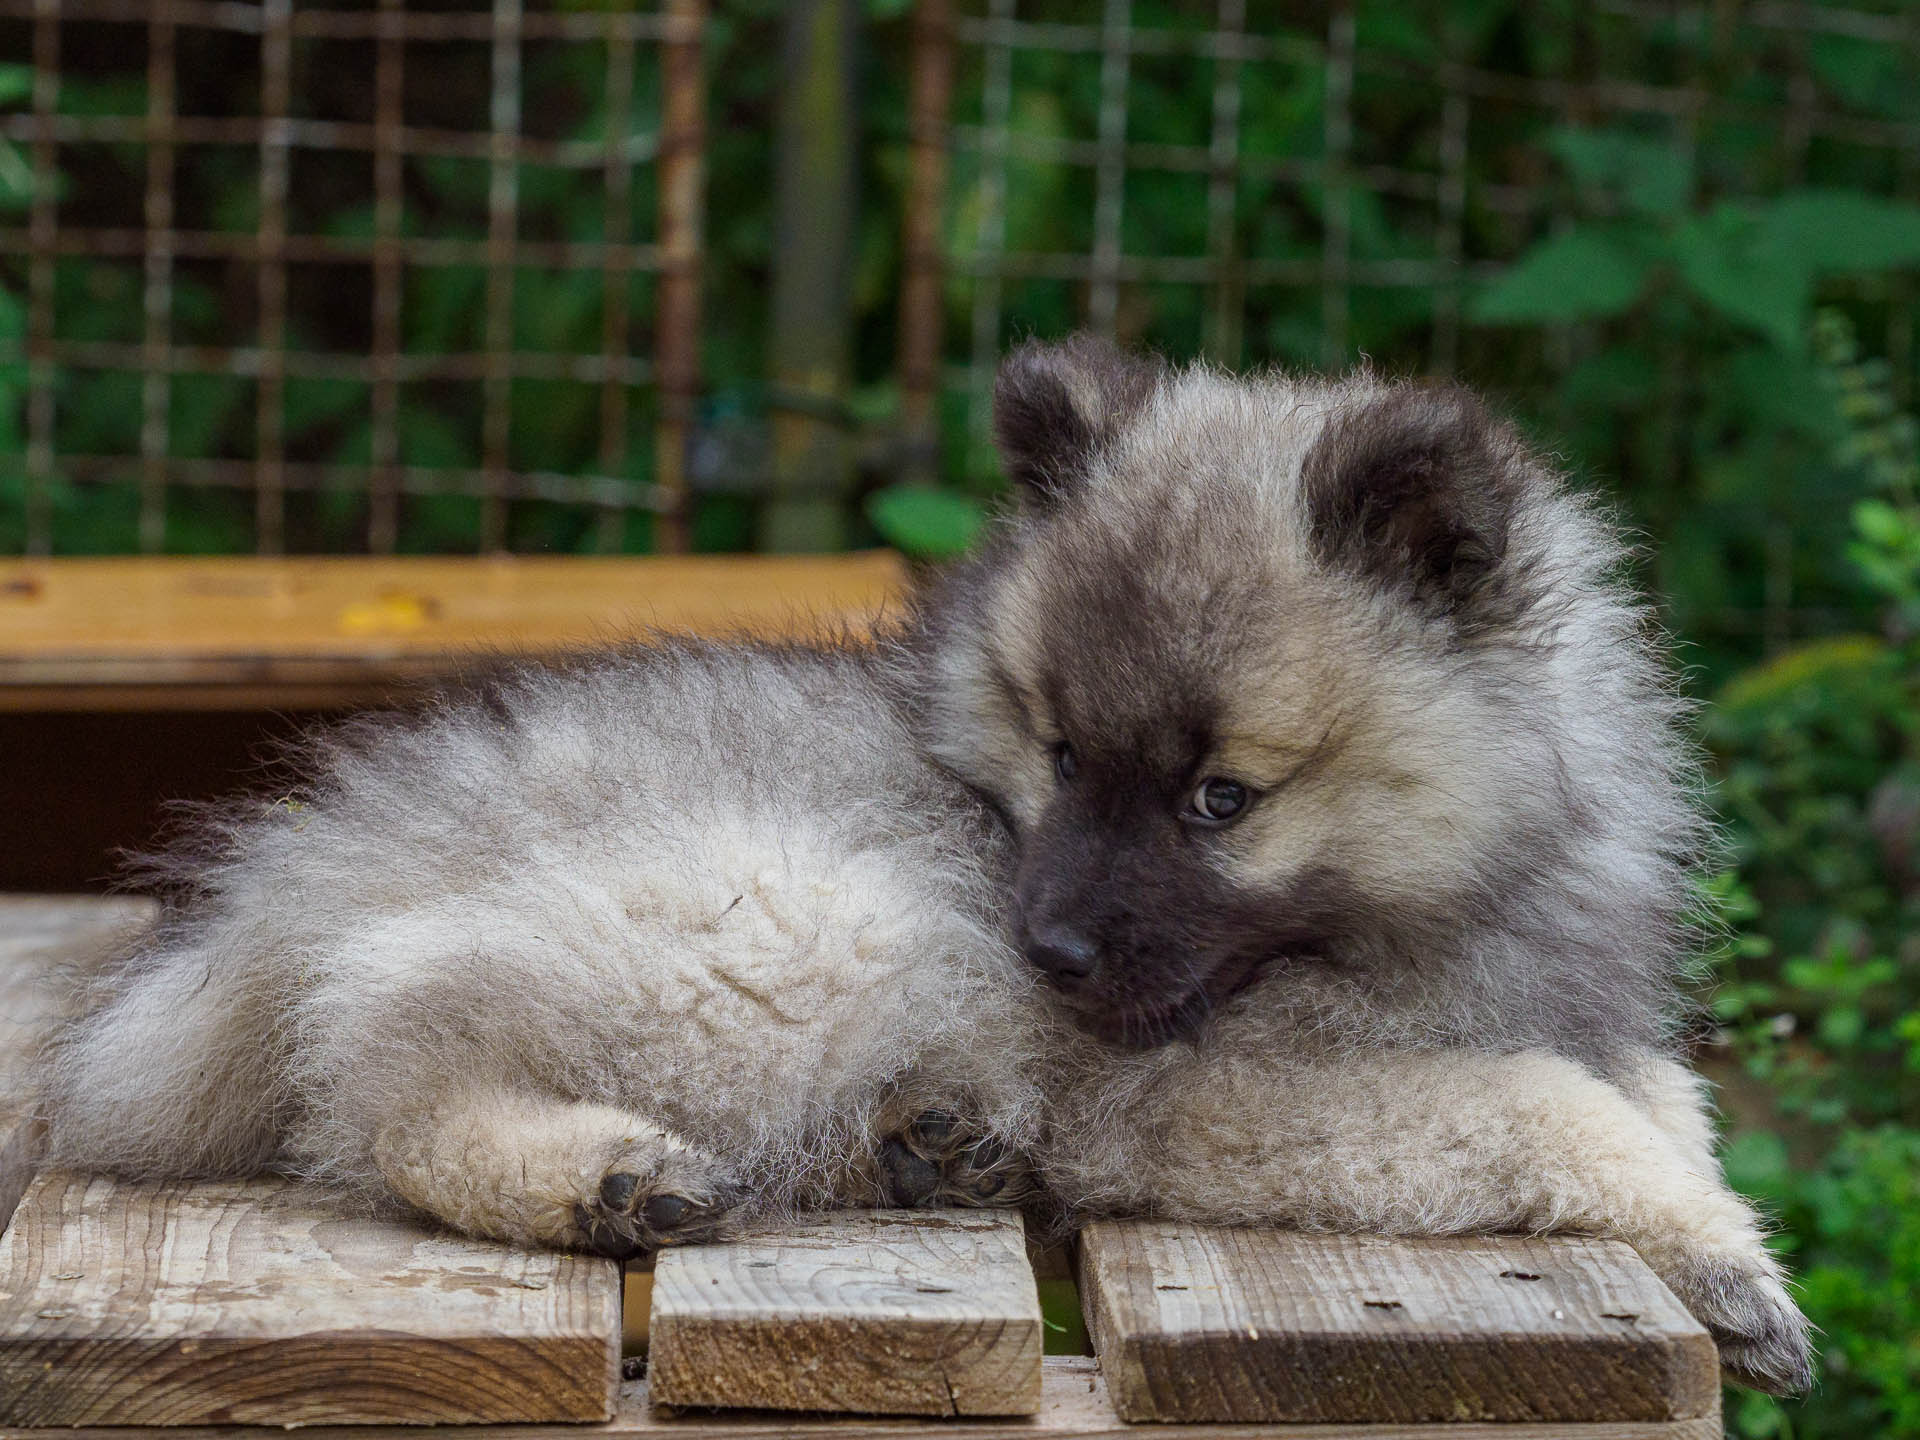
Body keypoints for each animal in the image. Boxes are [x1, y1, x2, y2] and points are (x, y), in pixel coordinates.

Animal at [22, 336, 1804, 1397]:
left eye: (1221, 798)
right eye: (1060, 752)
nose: (1051, 959)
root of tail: (290, 883)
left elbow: (1659, 1096)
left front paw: (1711, 1207)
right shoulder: (1211, 1094)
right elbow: (1548, 1111)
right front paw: (1733, 1263)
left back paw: (934, 1147)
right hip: (786, 926)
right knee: (381, 1070)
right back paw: (605, 1174)